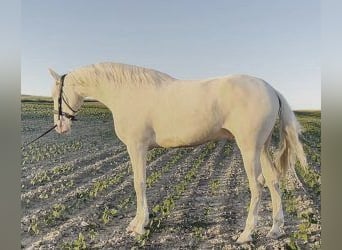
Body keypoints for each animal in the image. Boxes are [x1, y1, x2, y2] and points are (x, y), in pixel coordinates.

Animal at [49, 62, 308, 244]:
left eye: (55, 95)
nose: (60, 126)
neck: (128, 92)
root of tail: (270, 88)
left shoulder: (137, 147)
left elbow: (138, 183)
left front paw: (139, 226)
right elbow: (141, 183)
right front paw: (138, 222)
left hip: (249, 148)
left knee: (258, 185)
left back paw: (246, 234)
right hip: (262, 147)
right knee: (273, 181)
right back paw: (275, 229)